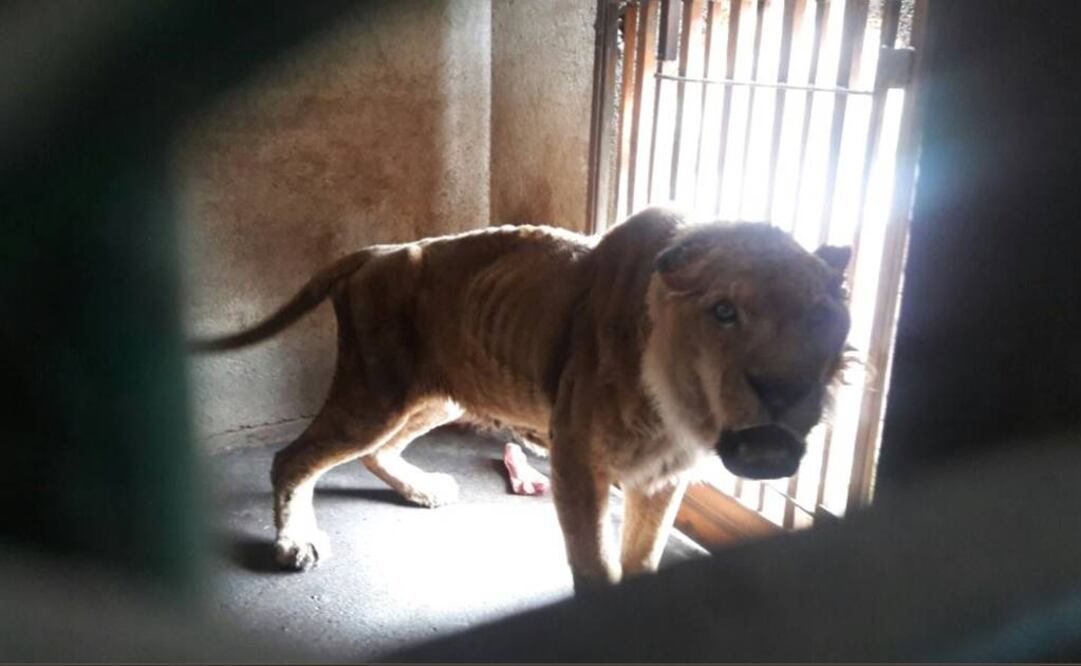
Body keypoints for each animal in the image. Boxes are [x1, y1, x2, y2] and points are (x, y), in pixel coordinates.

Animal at [192, 206, 851, 591]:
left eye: (823, 318)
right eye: (724, 312)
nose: (784, 390)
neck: (679, 409)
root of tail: (379, 252)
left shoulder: (662, 475)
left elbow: (643, 558)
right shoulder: (579, 461)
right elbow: (597, 565)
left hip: (434, 397)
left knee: (376, 452)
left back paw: (421, 488)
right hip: (375, 392)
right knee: (294, 458)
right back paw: (294, 542)